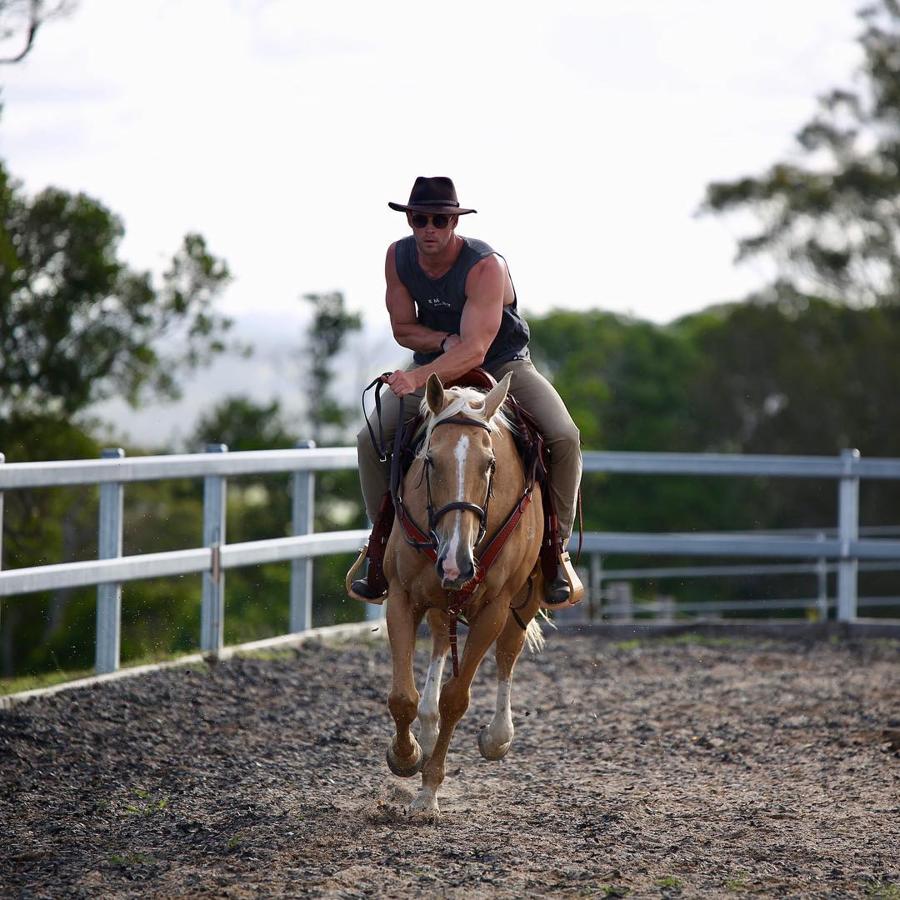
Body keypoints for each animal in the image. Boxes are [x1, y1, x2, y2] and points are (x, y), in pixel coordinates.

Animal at [384, 370, 544, 820]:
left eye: (489, 464)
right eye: (429, 460)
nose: (456, 564)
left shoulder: (494, 609)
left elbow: (457, 699)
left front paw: (428, 793)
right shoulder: (401, 596)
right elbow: (402, 696)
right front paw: (405, 755)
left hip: (524, 599)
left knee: (508, 651)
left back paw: (498, 736)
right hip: (441, 601)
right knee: (442, 641)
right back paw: (426, 728)